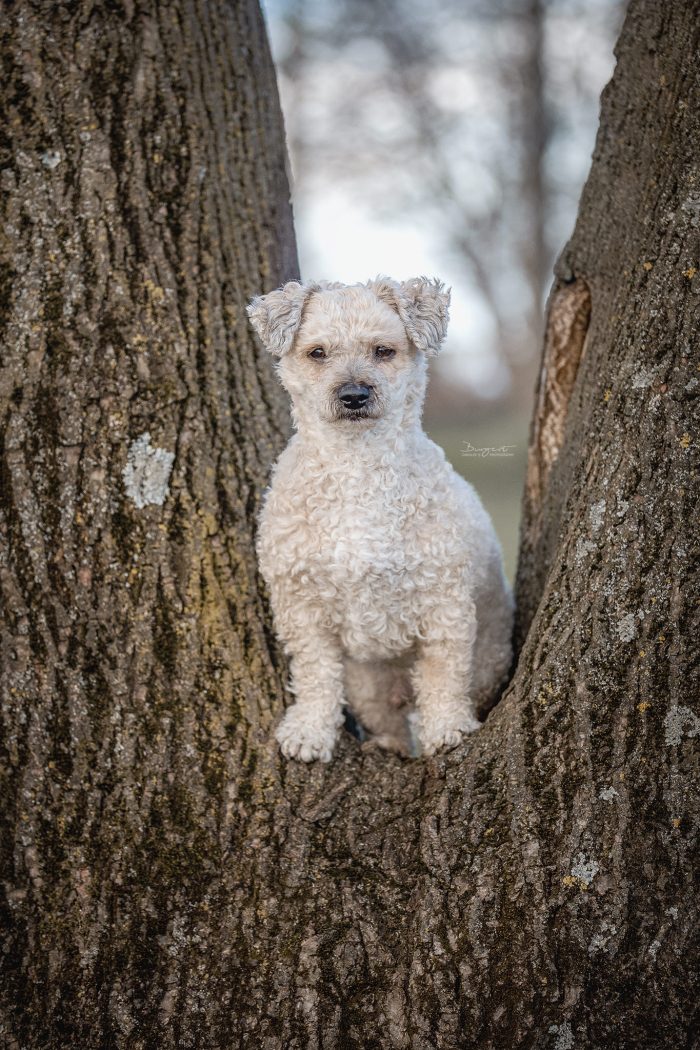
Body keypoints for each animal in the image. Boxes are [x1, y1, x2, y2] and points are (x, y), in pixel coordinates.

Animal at [247, 275, 514, 760]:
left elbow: (444, 673)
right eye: (317, 353)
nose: (354, 395)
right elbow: (315, 675)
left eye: (383, 351)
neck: (358, 469)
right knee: (386, 721)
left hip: (487, 660)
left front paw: (446, 727)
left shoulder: (444, 602)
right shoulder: (300, 605)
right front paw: (309, 732)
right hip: (367, 685)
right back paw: (385, 746)